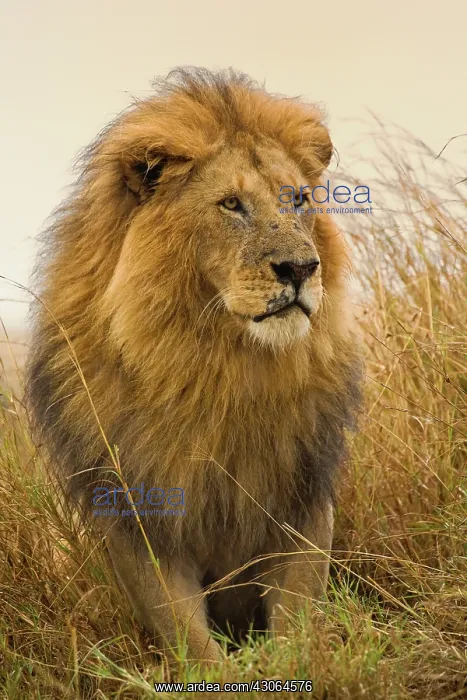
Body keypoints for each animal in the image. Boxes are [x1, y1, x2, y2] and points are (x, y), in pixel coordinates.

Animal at [25, 67, 362, 665]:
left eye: (299, 199)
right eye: (231, 205)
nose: (301, 267)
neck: (218, 367)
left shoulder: (302, 499)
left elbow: (296, 625)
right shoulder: (139, 521)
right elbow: (192, 643)